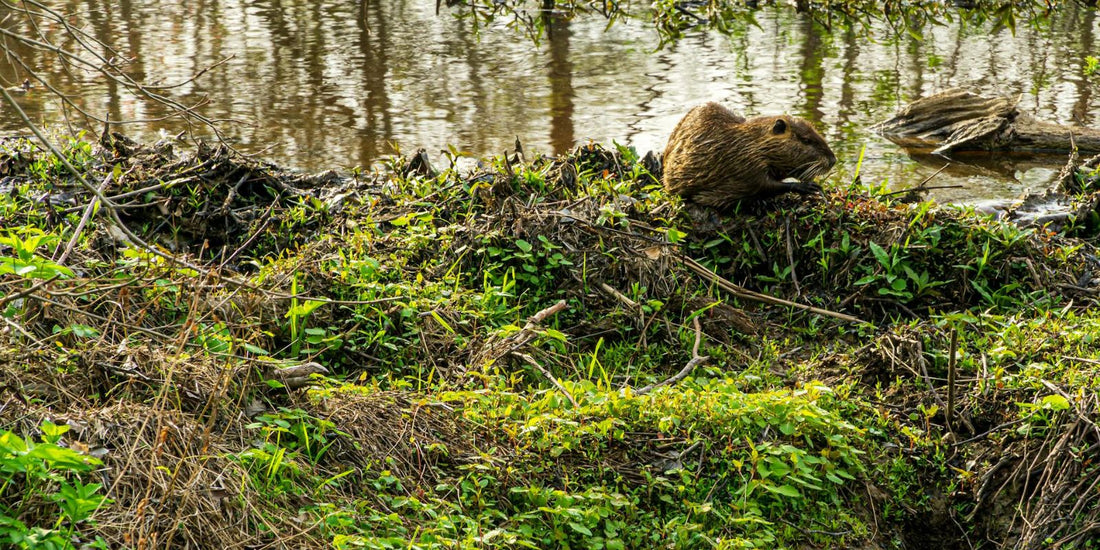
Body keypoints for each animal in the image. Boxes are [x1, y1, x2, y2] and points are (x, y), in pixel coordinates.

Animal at [660, 101, 831, 207]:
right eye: (806, 140)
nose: (833, 160)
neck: (748, 142)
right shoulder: (744, 165)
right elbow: (765, 185)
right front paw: (809, 186)